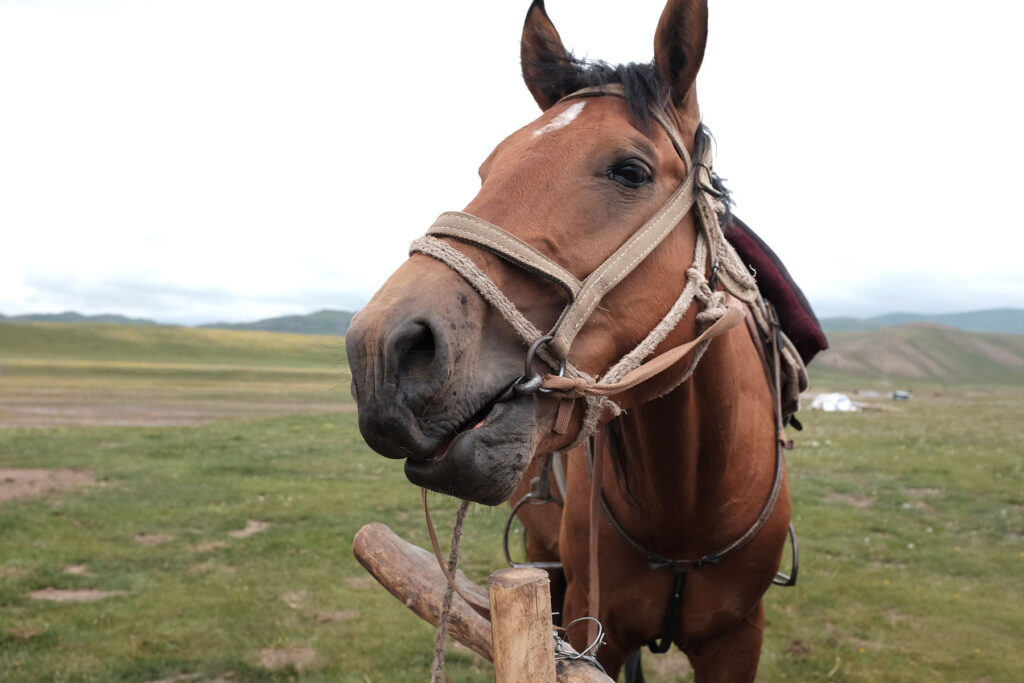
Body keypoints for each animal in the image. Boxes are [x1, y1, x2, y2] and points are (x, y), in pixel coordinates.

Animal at [346, 1, 807, 679]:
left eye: (630, 171)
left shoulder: (738, 637)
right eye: (488, 169)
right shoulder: (597, 630)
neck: (686, 510)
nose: (381, 353)